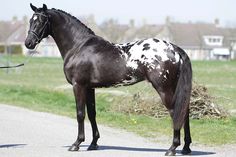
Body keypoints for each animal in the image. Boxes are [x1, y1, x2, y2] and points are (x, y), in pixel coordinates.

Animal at [24, 3, 193, 156]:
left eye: (41, 21)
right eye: (31, 20)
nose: (28, 43)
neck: (78, 46)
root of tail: (174, 49)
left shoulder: (78, 86)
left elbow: (80, 114)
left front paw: (76, 144)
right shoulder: (89, 88)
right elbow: (92, 114)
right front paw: (93, 143)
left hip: (164, 88)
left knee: (175, 112)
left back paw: (172, 148)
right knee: (184, 112)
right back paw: (186, 148)